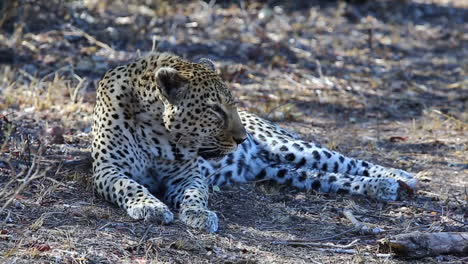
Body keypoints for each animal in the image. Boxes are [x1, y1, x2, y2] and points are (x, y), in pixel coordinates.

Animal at [91, 52, 416, 233]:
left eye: (230, 106)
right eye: (214, 109)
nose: (242, 138)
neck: (158, 133)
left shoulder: (188, 175)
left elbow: (196, 194)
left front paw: (199, 214)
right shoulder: (108, 170)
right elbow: (130, 186)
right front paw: (150, 206)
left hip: (289, 147)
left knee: (344, 160)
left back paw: (400, 176)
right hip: (281, 170)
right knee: (326, 177)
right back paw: (382, 187)